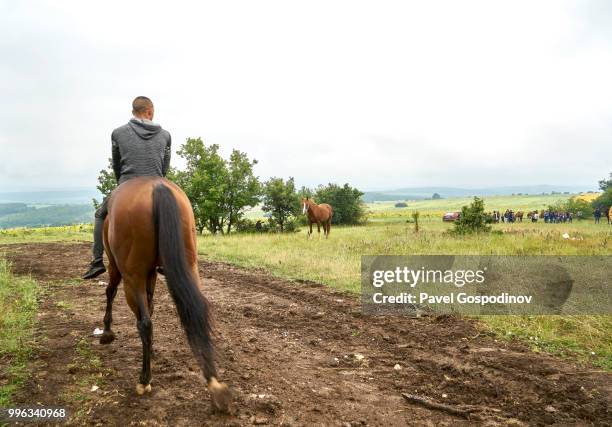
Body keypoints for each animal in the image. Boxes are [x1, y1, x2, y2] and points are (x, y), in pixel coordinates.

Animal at [101, 176, 231, 412]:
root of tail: (157, 187)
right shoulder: (151, 273)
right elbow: (151, 306)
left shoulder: (120, 268)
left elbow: (111, 292)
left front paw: (107, 331)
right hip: (189, 265)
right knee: (196, 313)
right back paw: (214, 384)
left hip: (132, 276)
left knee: (144, 322)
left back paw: (144, 380)